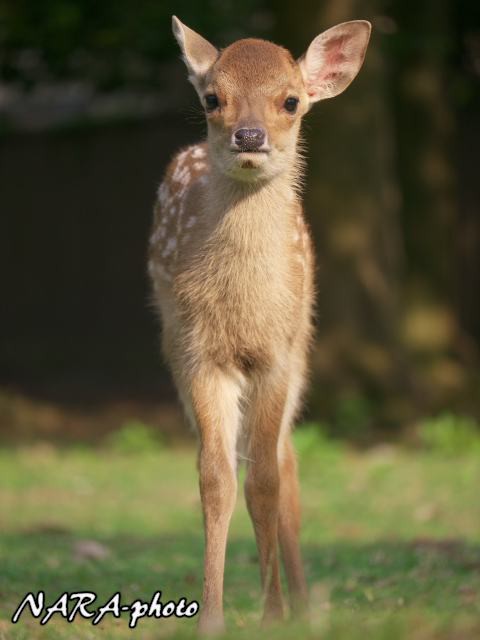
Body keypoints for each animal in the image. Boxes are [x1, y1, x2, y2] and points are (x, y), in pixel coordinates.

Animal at [148, 16, 371, 634]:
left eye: (291, 100)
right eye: (212, 98)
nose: (249, 137)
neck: (244, 309)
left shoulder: (275, 357)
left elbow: (265, 482)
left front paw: (274, 614)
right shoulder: (201, 357)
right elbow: (217, 480)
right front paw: (212, 617)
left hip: (301, 354)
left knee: (287, 467)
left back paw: (303, 605)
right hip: (174, 347)